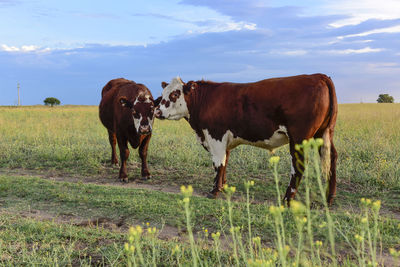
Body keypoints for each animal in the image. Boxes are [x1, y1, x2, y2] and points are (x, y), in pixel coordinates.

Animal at [155, 73, 338, 205]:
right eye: (162, 94)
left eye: (175, 94)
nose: (157, 111)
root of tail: (318, 76)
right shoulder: (225, 141)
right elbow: (225, 163)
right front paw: (223, 187)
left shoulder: (216, 136)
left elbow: (218, 163)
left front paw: (214, 191)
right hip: (323, 134)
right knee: (332, 158)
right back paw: (329, 198)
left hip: (299, 137)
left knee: (298, 166)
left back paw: (287, 199)